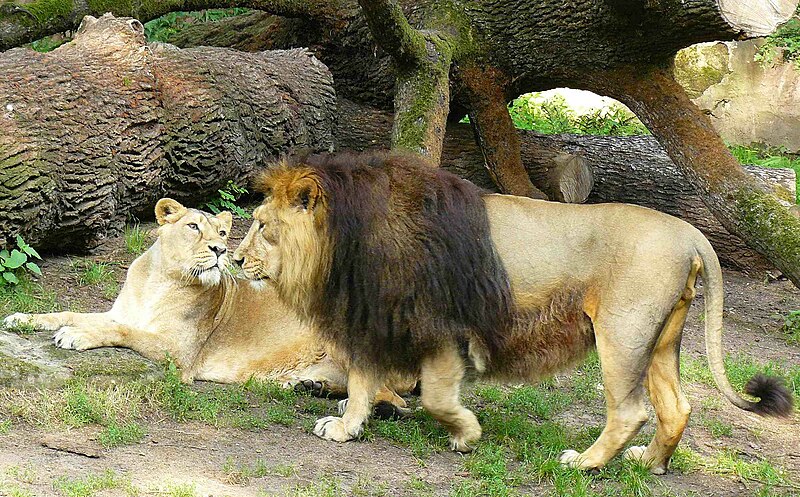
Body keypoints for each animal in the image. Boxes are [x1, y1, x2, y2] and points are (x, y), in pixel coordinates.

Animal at [1, 198, 406, 410]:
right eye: (194, 227)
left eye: (224, 232)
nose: (220, 249)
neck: (160, 280)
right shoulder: (119, 311)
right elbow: (68, 312)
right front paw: (22, 319)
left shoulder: (179, 353)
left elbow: (123, 331)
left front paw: (76, 336)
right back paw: (310, 387)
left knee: (391, 396)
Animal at [233, 150, 792, 472]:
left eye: (261, 225)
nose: (235, 259)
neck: (344, 242)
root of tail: (688, 231)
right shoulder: (377, 321)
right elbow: (361, 383)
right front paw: (346, 429)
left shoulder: (439, 328)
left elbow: (435, 397)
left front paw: (466, 434)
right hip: (661, 338)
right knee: (677, 408)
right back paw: (649, 463)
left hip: (622, 332)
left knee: (631, 410)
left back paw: (584, 464)